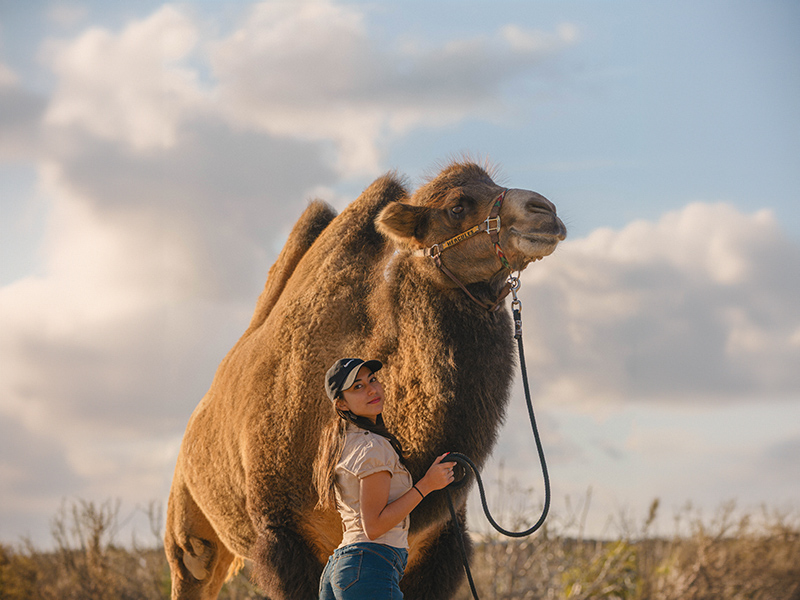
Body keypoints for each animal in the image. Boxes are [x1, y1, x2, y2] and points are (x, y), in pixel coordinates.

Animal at [167, 159, 568, 600]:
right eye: (456, 207)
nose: (544, 211)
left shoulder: (442, 541)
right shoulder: (282, 538)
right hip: (188, 533)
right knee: (190, 566)